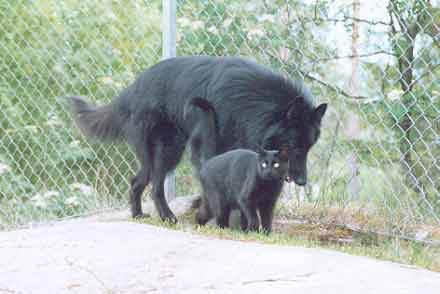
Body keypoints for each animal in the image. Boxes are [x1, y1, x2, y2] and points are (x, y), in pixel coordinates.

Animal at [65, 55, 326, 223]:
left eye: (308, 148)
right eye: (293, 146)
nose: (302, 181)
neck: (254, 105)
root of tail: (133, 89)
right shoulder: (211, 150)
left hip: (168, 153)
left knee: (138, 181)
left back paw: (139, 214)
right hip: (165, 153)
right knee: (154, 185)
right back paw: (167, 216)